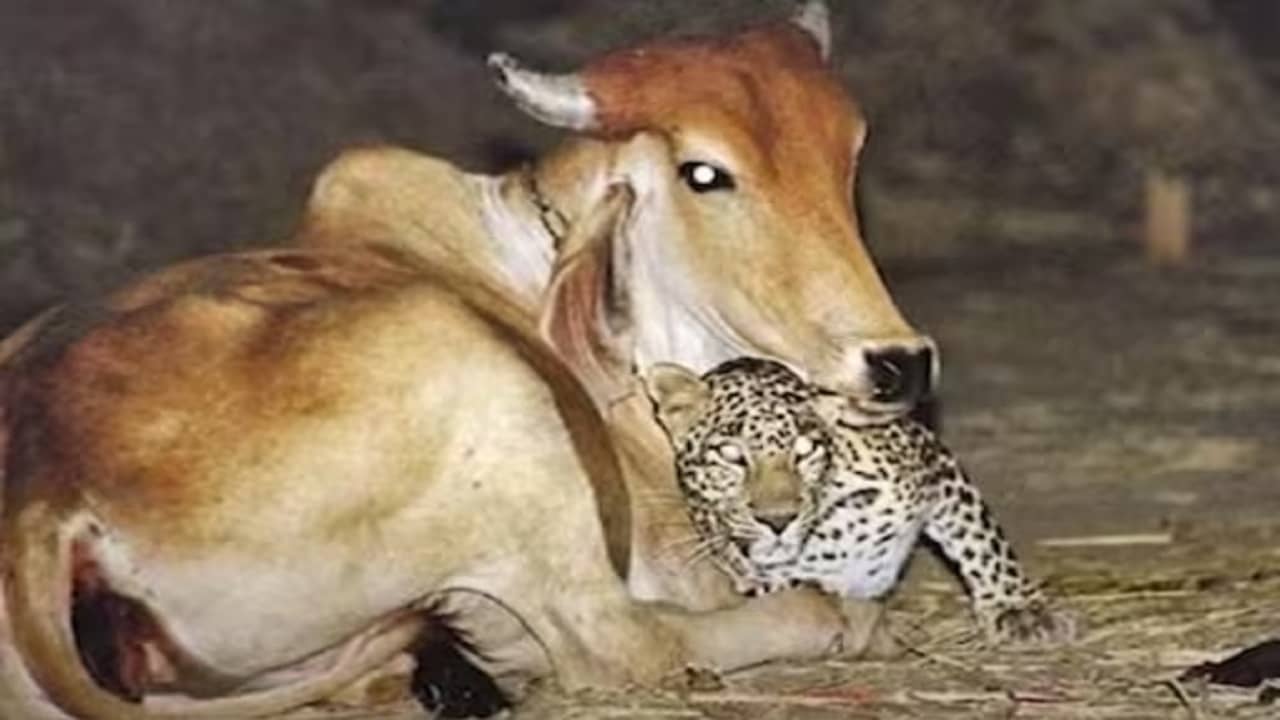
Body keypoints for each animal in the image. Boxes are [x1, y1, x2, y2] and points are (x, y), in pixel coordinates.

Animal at [644, 357, 1075, 644]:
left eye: (805, 450)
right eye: (731, 455)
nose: (779, 520)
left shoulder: (934, 462)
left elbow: (982, 542)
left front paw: (1019, 610)